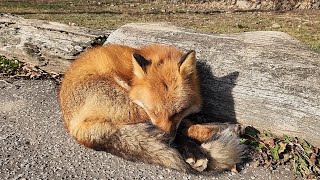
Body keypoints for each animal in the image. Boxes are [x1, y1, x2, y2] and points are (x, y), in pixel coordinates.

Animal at [59, 43, 245, 173]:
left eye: (176, 113)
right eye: (154, 111)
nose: (167, 139)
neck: (132, 77)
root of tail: (72, 126)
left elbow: (184, 122)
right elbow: (182, 127)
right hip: (129, 105)